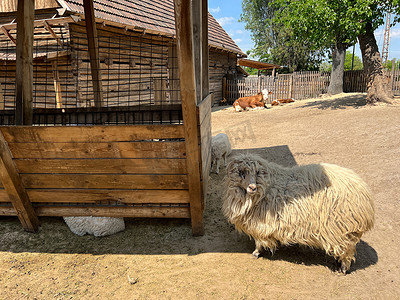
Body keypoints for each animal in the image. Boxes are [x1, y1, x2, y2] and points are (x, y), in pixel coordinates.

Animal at [222, 155, 376, 274]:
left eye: (258, 172)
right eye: (241, 172)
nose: (252, 187)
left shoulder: (260, 225)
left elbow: (259, 241)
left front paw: (256, 253)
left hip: (342, 229)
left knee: (348, 252)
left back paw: (342, 269)